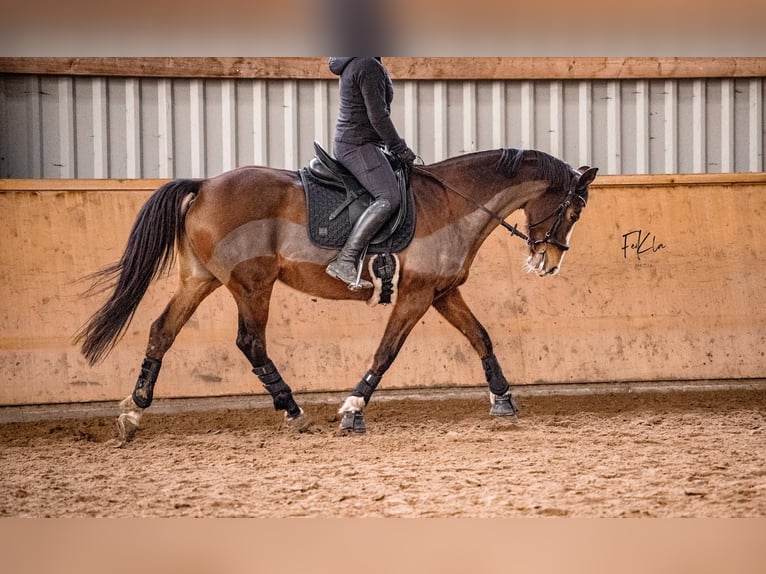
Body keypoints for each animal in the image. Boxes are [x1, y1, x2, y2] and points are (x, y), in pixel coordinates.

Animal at [75, 147, 597, 443]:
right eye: (573, 211)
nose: (550, 262)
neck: (454, 203)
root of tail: (204, 185)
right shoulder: (416, 294)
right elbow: (387, 352)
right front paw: (352, 411)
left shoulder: (442, 292)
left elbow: (481, 338)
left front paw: (503, 399)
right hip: (252, 285)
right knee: (250, 343)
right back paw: (293, 412)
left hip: (199, 280)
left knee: (161, 331)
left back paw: (133, 414)